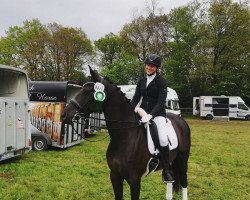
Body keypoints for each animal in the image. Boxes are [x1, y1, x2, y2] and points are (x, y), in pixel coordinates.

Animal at [61, 67, 190, 200]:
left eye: (87, 91)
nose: (64, 114)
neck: (124, 137)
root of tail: (180, 120)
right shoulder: (115, 175)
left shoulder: (134, 180)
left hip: (183, 160)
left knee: (184, 182)